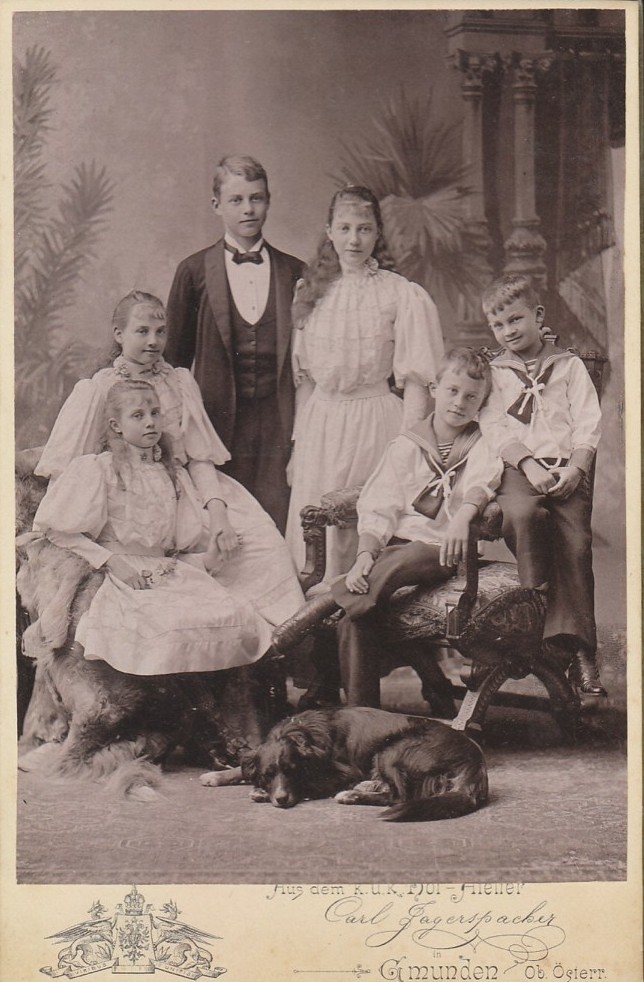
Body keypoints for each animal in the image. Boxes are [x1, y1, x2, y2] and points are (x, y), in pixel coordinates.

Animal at [231, 706, 488, 822]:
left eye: (292, 771)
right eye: (267, 774)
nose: (282, 799)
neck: (300, 732)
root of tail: (474, 759)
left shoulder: (347, 772)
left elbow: (312, 785)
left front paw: (260, 793)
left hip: (392, 750)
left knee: (399, 796)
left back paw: (352, 795)